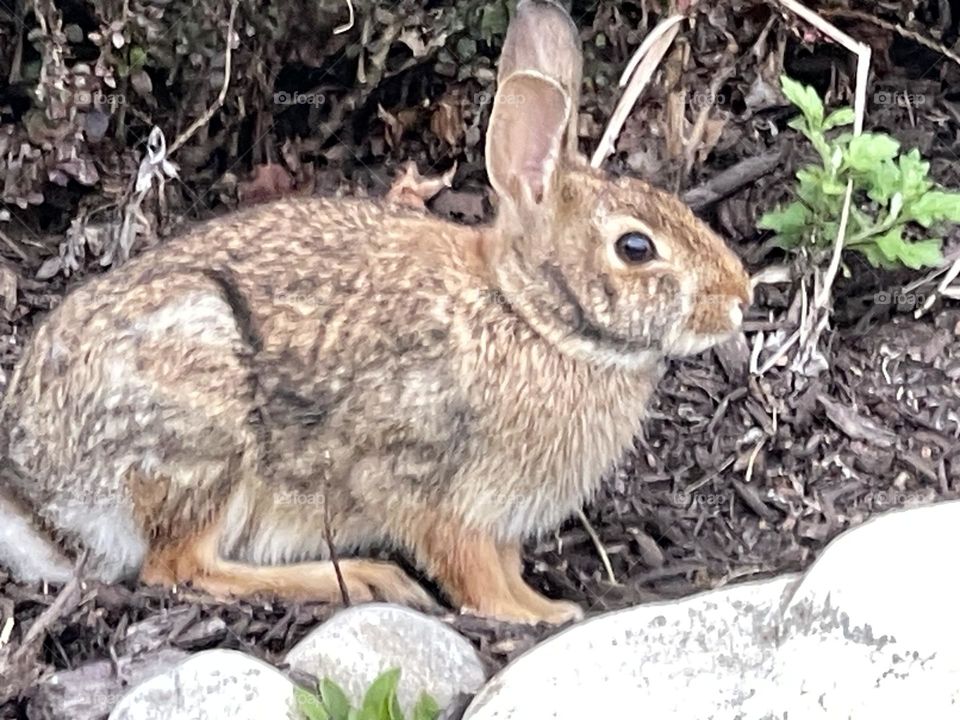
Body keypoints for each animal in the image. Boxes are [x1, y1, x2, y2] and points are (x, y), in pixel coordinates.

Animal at [0, 1, 751, 624]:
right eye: (635, 247)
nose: (740, 300)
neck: (528, 315)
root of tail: (38, 491)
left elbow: (501, 565)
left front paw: (540, 604)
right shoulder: (424, 482)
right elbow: (469, 569)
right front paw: (533, 617)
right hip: (205, 428)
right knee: (176, 566)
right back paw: (362, 580)